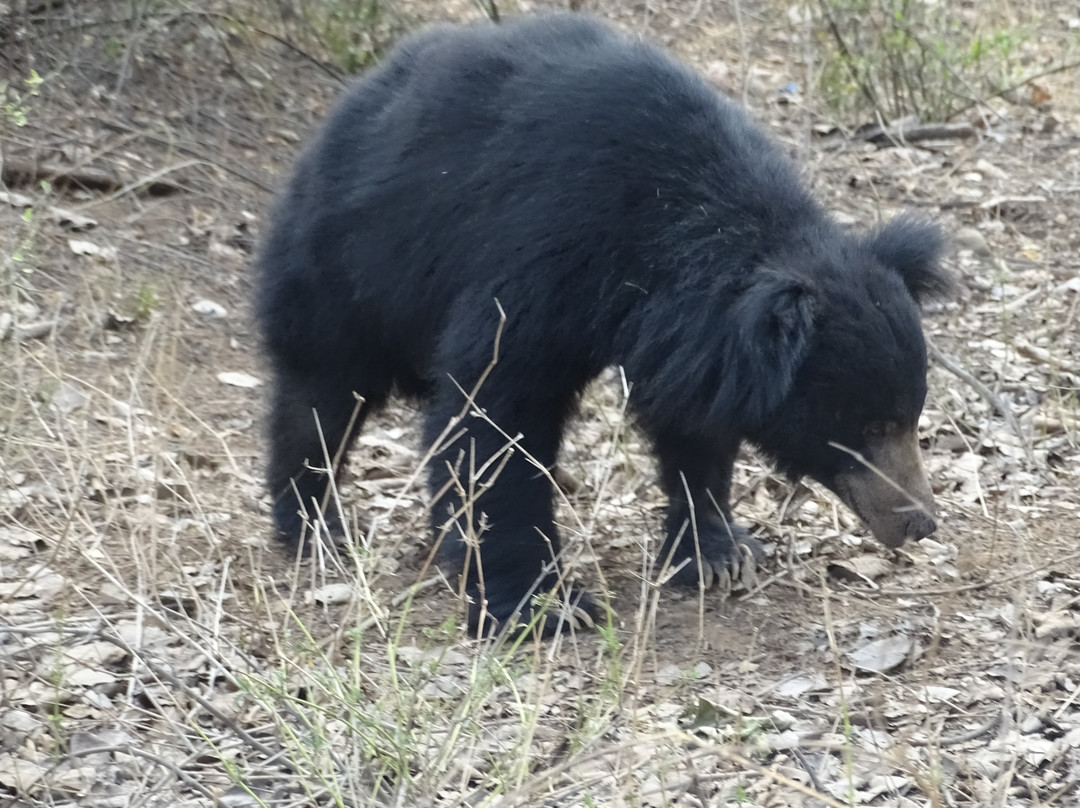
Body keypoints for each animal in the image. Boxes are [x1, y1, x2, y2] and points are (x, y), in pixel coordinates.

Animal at [257, 9, 950, 635]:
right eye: (869, 426)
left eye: (912, 415)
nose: (920, 522)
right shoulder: (538, 257)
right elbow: (494, 415)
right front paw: (542, 606)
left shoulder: (689, 339)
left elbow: (694, 428)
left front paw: (718, 554)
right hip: (347, 270)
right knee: (319, 401)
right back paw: (316, 530)